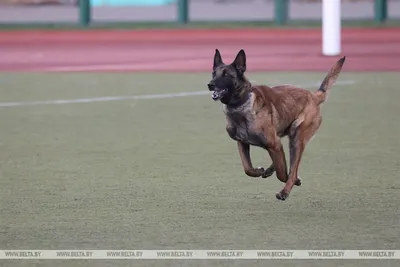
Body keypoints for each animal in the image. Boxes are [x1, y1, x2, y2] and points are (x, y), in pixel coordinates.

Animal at [208, 48, 346, 201]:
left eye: (226, 75)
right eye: (214, 73)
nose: (210, 85)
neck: (241, 105)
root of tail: (314, 96)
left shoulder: (273, 143)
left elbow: (283, 173)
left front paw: (291, 180)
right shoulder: (242, 143)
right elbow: (247, 168)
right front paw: (258, 171)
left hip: (297, 139)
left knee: (292, 168)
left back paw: (285, 190)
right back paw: (271, 170)